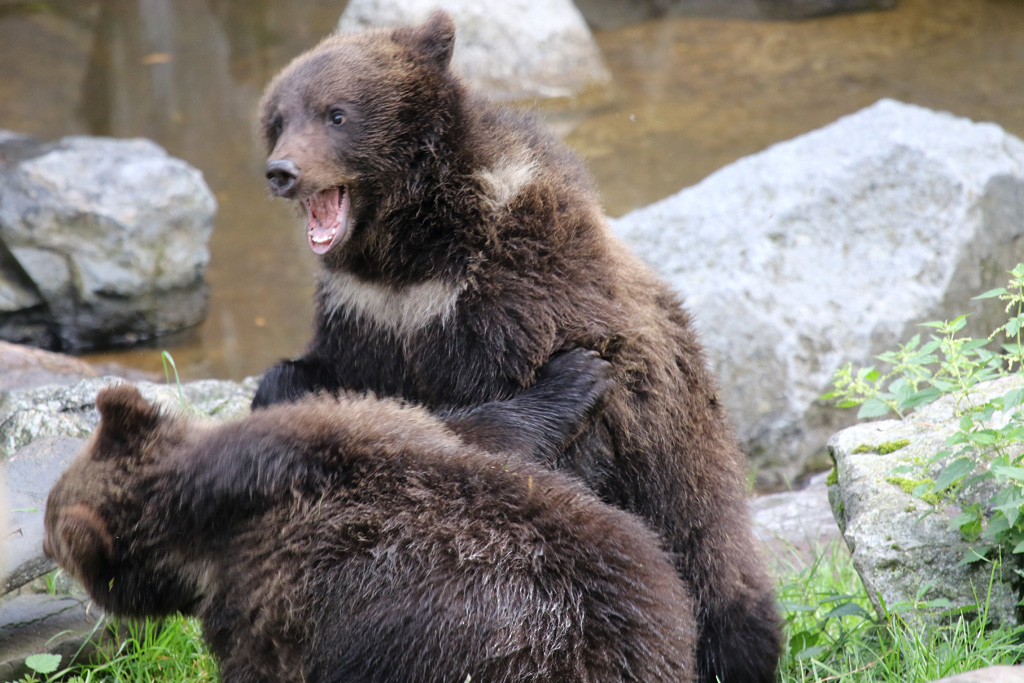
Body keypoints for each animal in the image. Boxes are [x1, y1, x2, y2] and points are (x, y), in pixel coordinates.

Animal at [44, 350, 698, 683]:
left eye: (56, 546)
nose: (49, 545)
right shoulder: (389, 425)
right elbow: (488, 426)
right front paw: (575, 375)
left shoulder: (270, 604)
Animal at [252, 11, 780, 682]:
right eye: (278, 119)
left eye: (336, 113)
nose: (282, 171)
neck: (414, 259)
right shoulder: (365, 318)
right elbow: (330, 391)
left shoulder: (519, 293)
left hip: (694, 504)